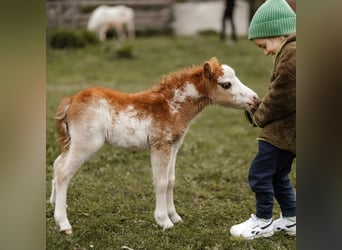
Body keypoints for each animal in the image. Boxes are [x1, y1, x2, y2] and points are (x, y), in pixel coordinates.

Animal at [49, 57, 260, 233]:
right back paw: (64, 223)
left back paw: (55, 204)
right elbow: (160, 182)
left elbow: (171, 180)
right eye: (226, 84)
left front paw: (175, 216)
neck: (171, 106)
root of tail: (71, 100)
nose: (256, 100)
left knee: (57, 164)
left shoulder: (174, 146)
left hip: (74, 142)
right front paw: (164, 221)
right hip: (86, 143)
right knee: (63, 173)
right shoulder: (160, 146)